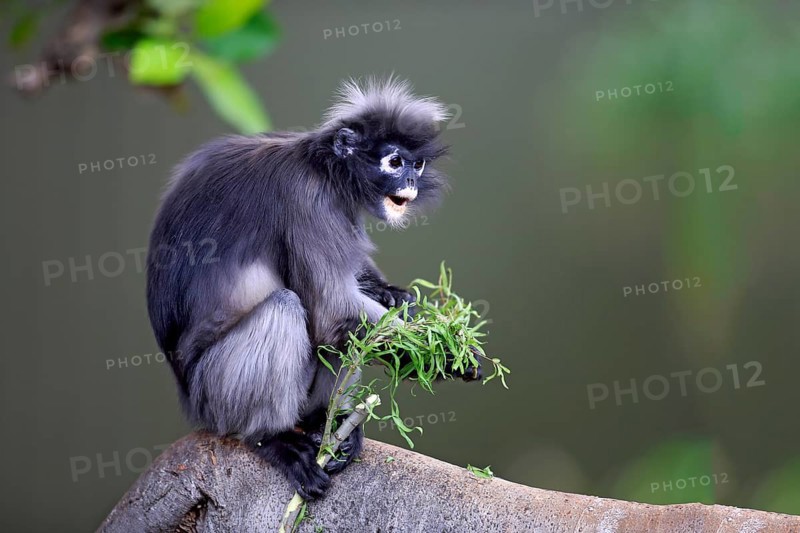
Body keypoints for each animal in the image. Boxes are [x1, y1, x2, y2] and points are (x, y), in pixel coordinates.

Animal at [145, 76, 480, 500]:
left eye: (417, 164)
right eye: (394, 161)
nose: (410, 181)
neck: (323, 166)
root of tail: (189, 399)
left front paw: (397, 296)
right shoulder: (307, 198)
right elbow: (331, 310)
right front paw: (449, 354)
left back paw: (327, 420)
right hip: (214, 395)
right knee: (288, 307)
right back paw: (273, 439)